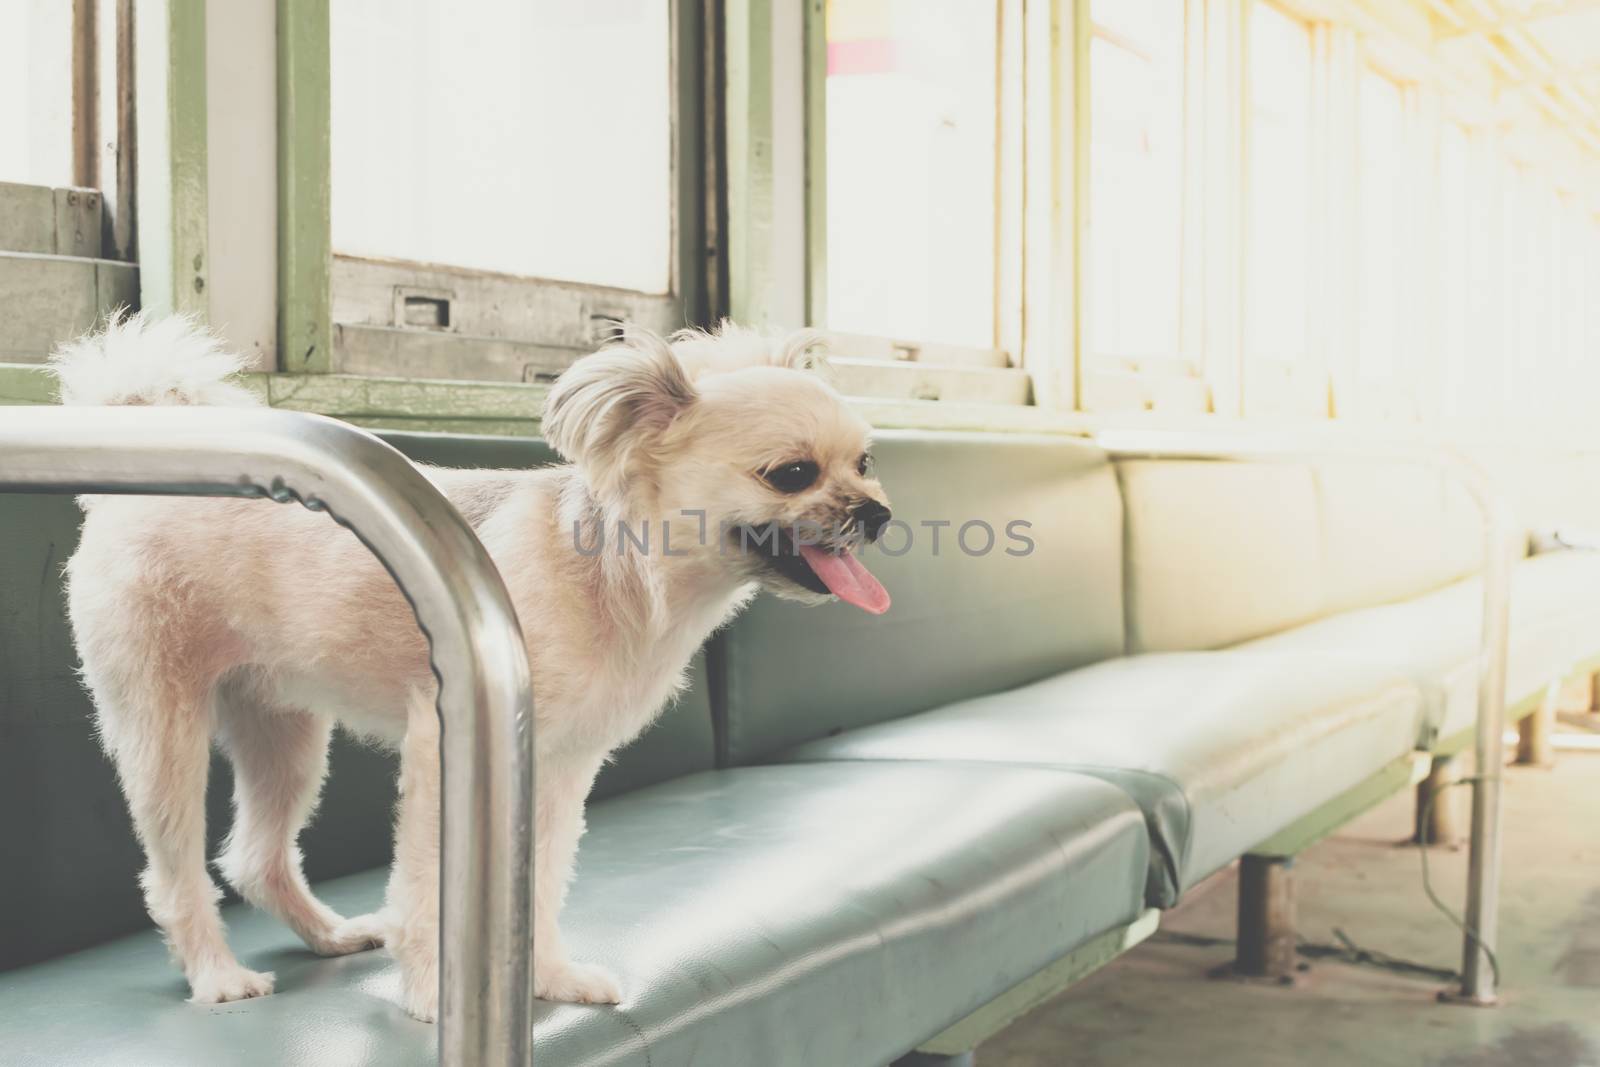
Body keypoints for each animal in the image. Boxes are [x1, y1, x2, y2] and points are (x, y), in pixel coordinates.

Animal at [53, 315, 889, 1017]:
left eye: (865, 461)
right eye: (791, 473)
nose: (879, 511)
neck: (612, 574)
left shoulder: (555, 766)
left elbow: (541, 878)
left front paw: (547, 976)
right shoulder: (447, 746)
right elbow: (429, 883)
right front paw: (432, 992)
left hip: (282, 733)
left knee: (256, 856)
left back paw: (327, 935)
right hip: (163, 729)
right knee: (173, 871)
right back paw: (217, 975)